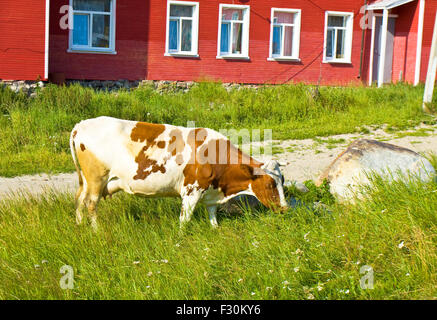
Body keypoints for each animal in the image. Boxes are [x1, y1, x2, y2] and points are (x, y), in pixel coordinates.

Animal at [70, 116, 290, 229]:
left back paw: (79, 225)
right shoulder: (191, 191)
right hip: (97, 179)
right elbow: (185, 220)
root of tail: (81, 124)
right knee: (91, 204)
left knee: (79, 200)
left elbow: (212, 214)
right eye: (270, 184)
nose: (285, 208)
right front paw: (181, 238)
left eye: (283, 181)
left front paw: (215, 230)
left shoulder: (211, 192)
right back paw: (96, 230)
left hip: (87, 181)